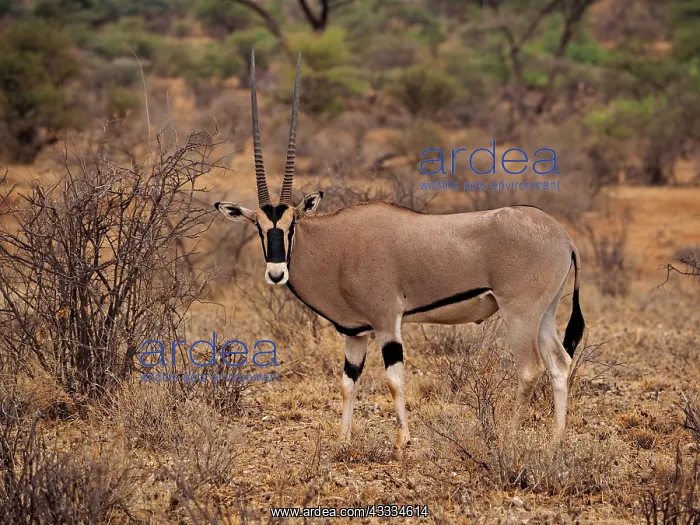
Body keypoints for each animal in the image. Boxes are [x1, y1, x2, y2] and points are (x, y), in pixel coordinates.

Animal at [215, 50, 585, 455]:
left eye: (292, 224)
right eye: (259, 227)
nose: (277, 273)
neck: (337, 245)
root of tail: (563, 237)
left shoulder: (386, 321)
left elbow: (394, 379)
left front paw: (402, 440)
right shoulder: (355, 332)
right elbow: (348, 382)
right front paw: (343, 439)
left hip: (519, 313)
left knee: (531, 368)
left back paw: (510, 437)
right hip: (545, 313)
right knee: (559, 363)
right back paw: (556, 439)